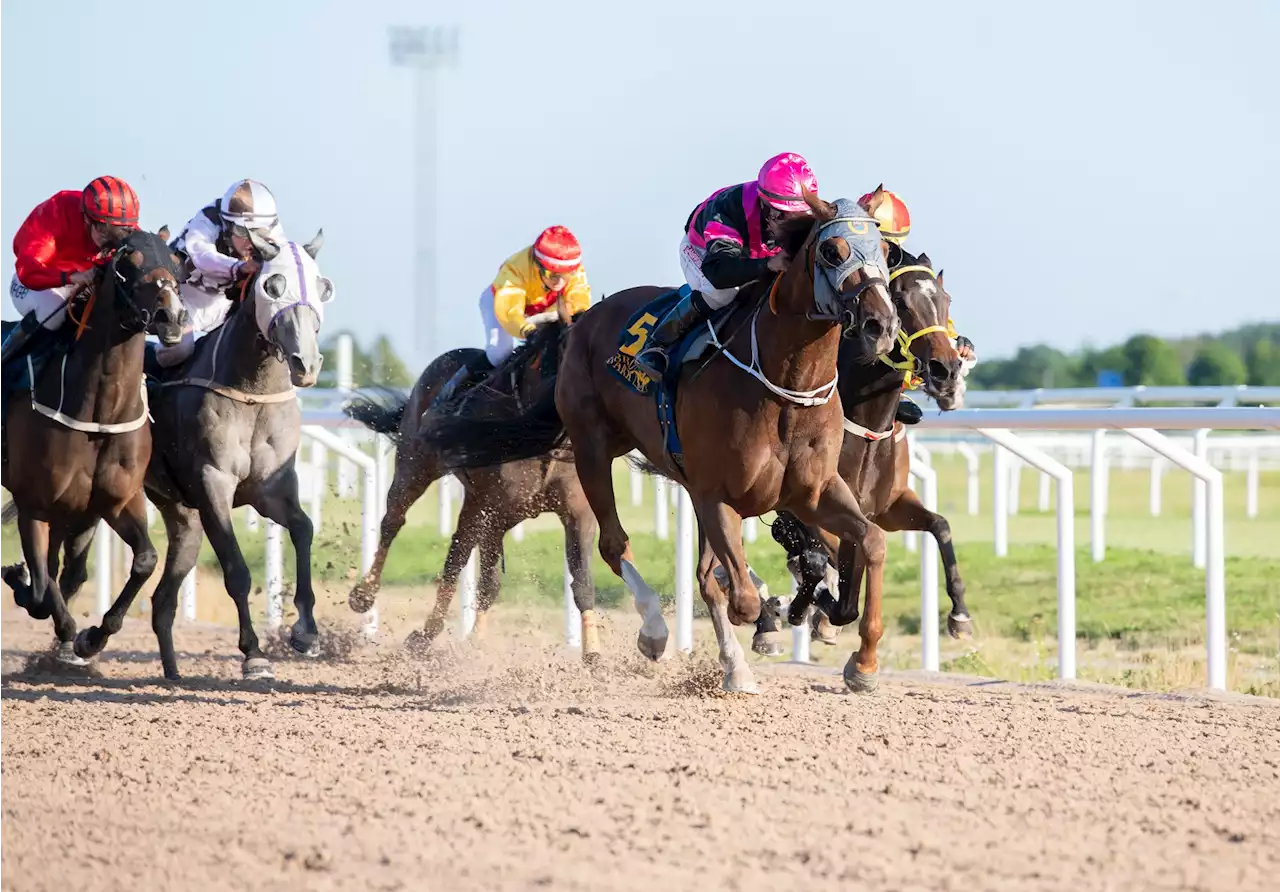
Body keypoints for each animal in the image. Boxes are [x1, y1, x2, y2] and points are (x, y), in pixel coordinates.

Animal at [0, 229, 186, 660]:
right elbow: (40, 586)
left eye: (175, 260)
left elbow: (145, 559)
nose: (171, 315)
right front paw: (22, 583)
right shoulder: (34, 503)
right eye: (127, 262)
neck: (100, 413)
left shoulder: (116, 501)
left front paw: (93, 636)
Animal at [343, 316, 596, 650]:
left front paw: (593, 654)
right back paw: (366, 595)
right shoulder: (490, 509)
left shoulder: (575, 513)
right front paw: (449, 639)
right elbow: (468, 570)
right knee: (394, 524)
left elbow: (581, 581)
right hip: (416, 467)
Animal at [419, 197, 901, 696]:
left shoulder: (813, 492)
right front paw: (769, 619)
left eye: (886, 250)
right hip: (592, 449)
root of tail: (583, 321)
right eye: (831, 250)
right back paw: (659, 634)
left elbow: (869, 542)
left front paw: (862, 661)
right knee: (617, 546)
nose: (881, 325)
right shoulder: (716, 495)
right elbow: (739, 596)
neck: (786, 384)